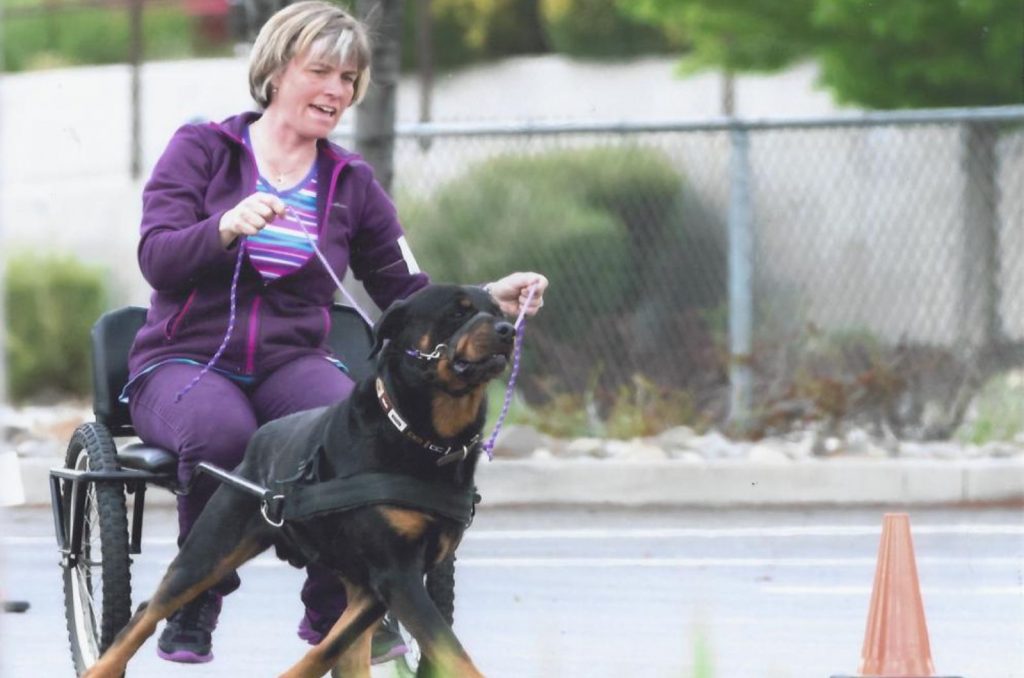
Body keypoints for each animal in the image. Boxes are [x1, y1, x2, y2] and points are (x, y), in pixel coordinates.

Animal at [80, 284, 516, 675]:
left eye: (499, 310)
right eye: (456, 312)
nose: (508, 330)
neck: (424, 437)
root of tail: (259, 439)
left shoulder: (380, 584)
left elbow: (331, 648)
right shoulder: (397, 573)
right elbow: (454, 654)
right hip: (210, 547)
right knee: (145, 613)